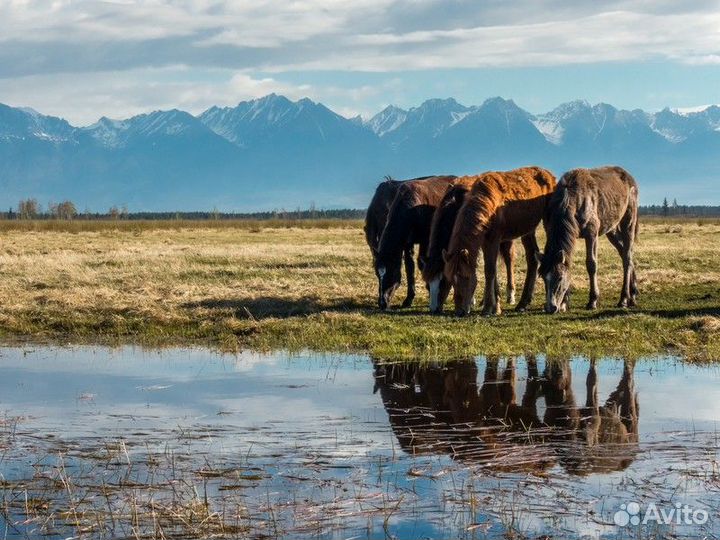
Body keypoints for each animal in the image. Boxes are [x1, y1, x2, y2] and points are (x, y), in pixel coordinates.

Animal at [374, 175, 458, 310]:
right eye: (377, 274)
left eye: (391, 273)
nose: (382, 303)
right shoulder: (407, 243)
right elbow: (410, 267)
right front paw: (408, 299)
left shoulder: (426, 240)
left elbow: (422, 263)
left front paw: (430, 291)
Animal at [422, 175, 516, 314]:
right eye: (428, 284)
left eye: (443, 281)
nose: (434, 309)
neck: (455, 203)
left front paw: (472, 302)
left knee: (509, 260)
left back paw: (510, 295)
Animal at [442, 167, 556, 314]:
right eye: (451, 279)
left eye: (466, 277)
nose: (460, 311)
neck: (488, 204)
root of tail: (549, 174)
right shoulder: (485, 242)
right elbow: (492, 271)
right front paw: (496, 306)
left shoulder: (494, 239)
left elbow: (490, 271)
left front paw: (488, 308)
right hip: (528, 230)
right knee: (532, 257)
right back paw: (523, 303)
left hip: (547, 222)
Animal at [536, 167, 640, 314]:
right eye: (544, 277)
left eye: (560, 277)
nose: (551, 307)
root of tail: (631, 178)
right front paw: (564, 303)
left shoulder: (592, 233)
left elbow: (591, 264)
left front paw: (593, 300)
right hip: (611, 229)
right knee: (625, 254)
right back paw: (633, 294)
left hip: (629, 222)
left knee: (627, 257)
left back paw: (624, 299)